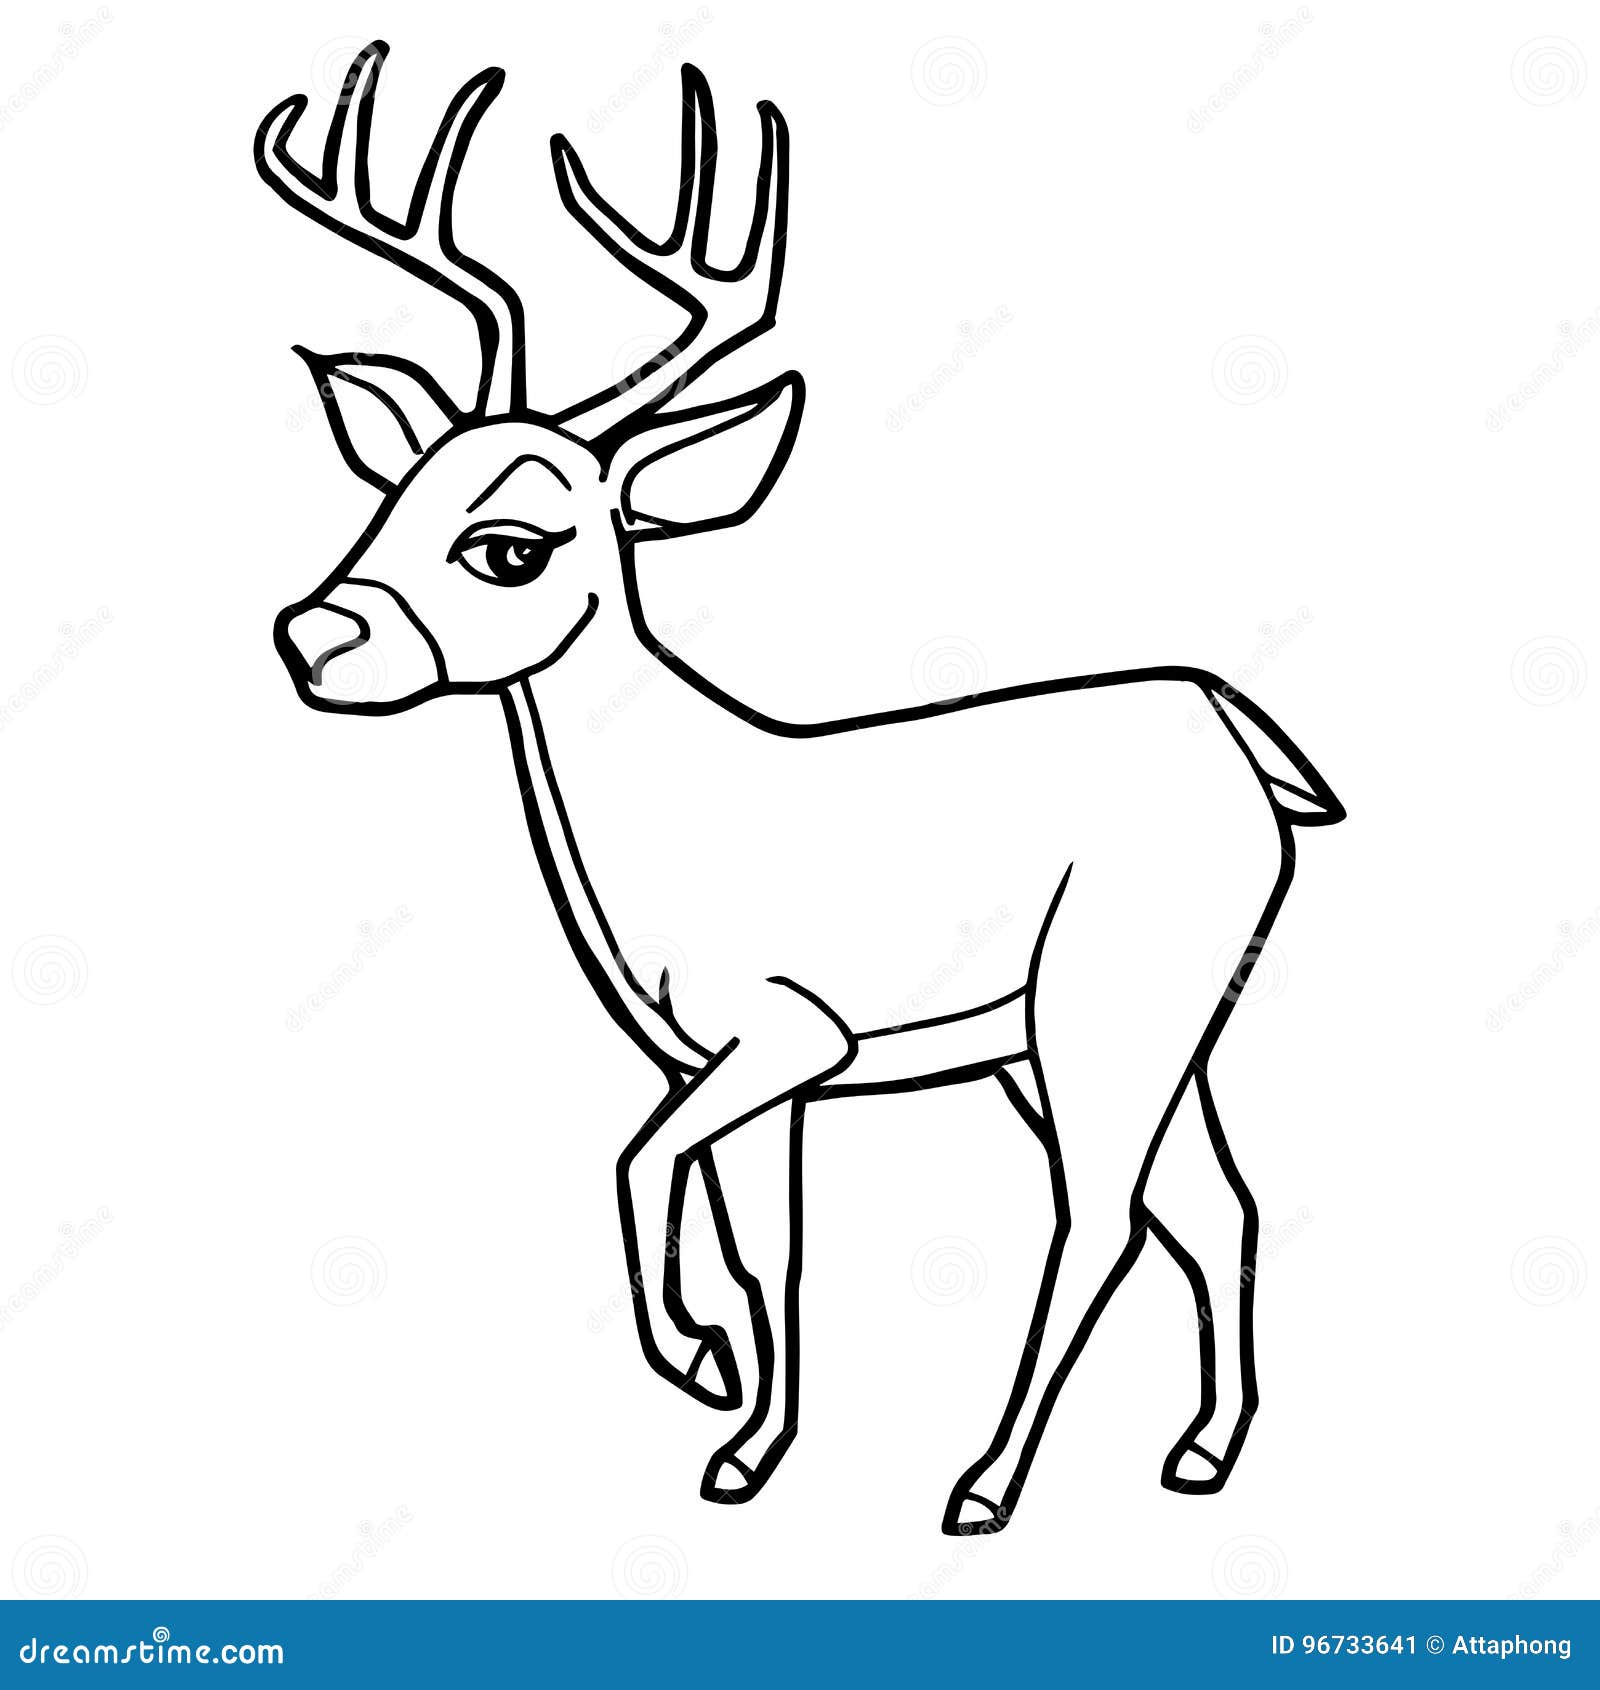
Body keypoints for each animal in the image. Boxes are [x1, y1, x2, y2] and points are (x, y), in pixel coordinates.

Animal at [255, 43, 1344, 1535]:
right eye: (391, 498)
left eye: (511, 545)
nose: (312, 636)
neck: (676, 813)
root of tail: (1238, 736)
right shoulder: (729, 1065)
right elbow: (768, 1245)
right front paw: (748, 1448)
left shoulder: (788, 1031)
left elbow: (640, 1161)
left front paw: (696, 1364)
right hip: (1115, 1019)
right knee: (1211, 1201)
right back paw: (1202, 1450)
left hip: (1111, 994)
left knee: (1102, 1215)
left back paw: (985, 1485)